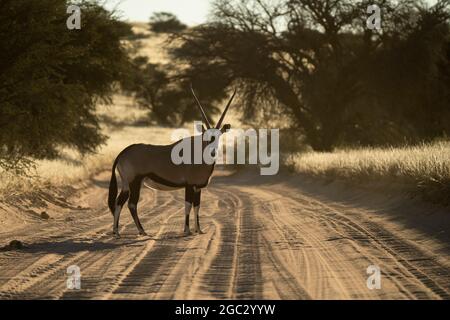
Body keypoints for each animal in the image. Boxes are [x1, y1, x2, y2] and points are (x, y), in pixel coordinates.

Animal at [108, 87, 236, 238]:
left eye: (218, 135)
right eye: (206, 136)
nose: (212, 150)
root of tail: (122, 153)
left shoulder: (198, 187)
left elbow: (197, 206)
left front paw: (199, 230)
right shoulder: (189, 185)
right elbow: (188, 205)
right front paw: (187, 230)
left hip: (128, 184)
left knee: (120, 202)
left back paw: (122, 231)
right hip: (134, 182)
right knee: (130, 204)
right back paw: (136, 231)